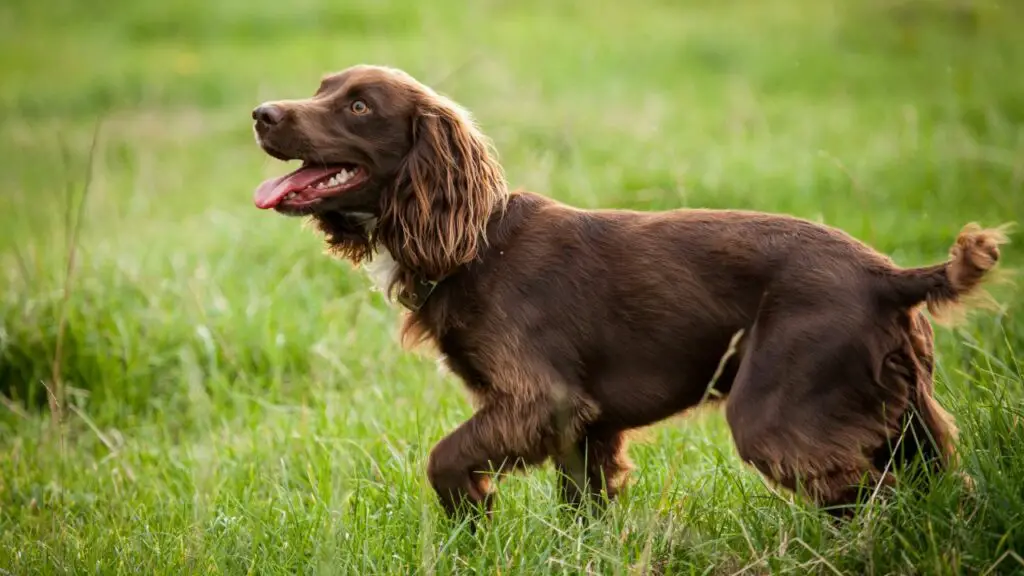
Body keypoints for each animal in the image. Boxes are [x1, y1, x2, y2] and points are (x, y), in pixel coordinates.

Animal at [249, 65, 1007, 518]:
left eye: (357, 105)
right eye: (322, 86)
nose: (260, 113)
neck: (476, 245)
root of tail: (888, 277)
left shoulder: (541, 400)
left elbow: (444, 458)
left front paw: (474, 518)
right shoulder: (585, 427)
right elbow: (581, 510)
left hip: (779, 413)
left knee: (871, 498)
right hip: (905, 416)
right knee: (939, 487)